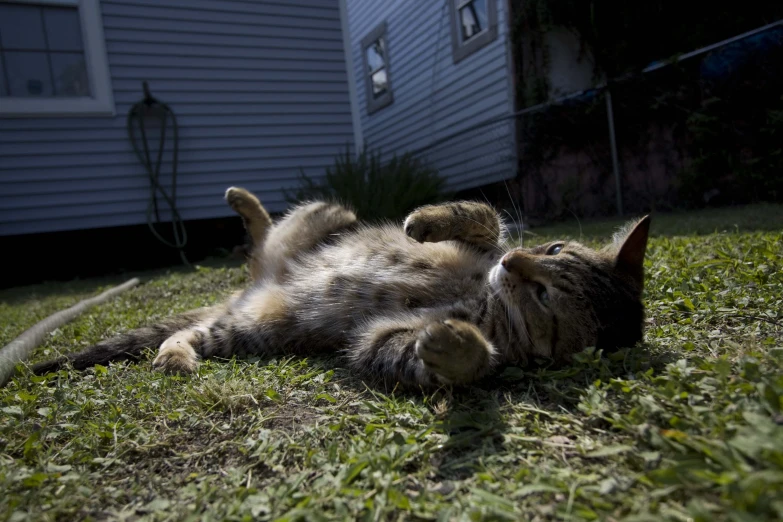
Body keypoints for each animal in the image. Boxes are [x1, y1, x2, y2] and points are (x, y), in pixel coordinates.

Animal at [33, 186, 652, 386]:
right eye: (553, 248)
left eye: (546, 297)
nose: (516, 263)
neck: (487, 291)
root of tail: (262, 286)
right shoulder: (489, 242)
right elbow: (481, 215)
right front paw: (427, 220)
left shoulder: (378, 339)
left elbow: (429, 356)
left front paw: (458, 347)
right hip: (324, 217)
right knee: (264, 238)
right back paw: (244, 205)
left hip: (250, 329)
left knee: (193, 329)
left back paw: (176, 357)